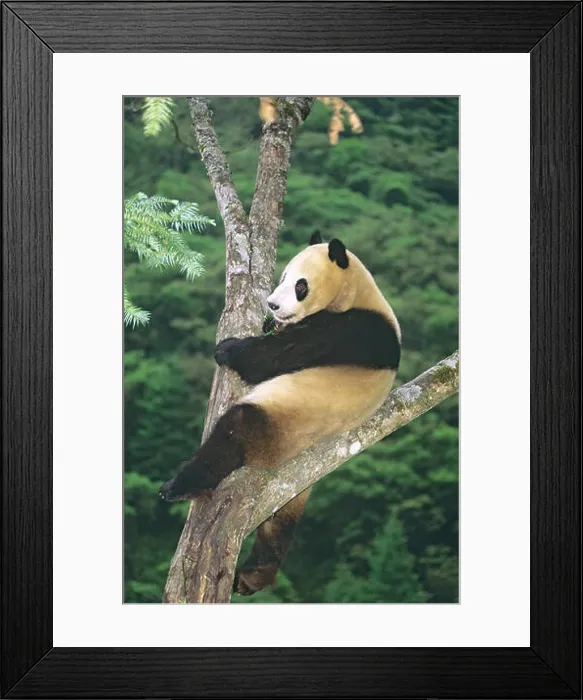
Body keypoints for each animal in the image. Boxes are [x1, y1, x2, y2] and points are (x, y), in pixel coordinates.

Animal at [159, 232, 401, 595]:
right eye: (283, 276)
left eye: (300, 285)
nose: (272, 305)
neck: (358, 293)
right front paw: (267, 323)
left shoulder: (349, 330)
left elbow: (274, 356)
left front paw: (228, 348)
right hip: (294, 479)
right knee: (281, 521)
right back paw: (255, 575)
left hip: (278, 421)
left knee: (234, 432)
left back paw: (180, 485)